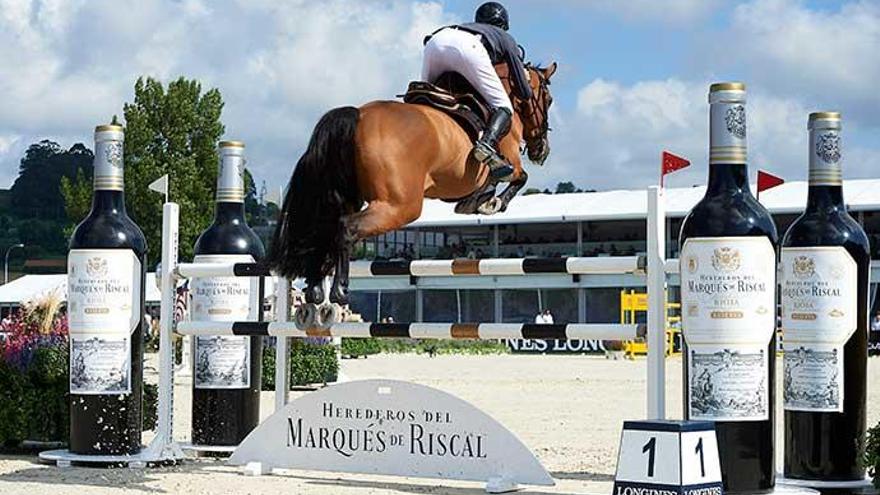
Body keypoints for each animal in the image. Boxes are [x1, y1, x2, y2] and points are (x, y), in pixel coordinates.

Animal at [266, 62, 556, 328]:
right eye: (549, 99)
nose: (541, 149)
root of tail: (357, 115)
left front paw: (481, 202)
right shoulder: (509, 164)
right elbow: (518, 177)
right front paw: (491, 203)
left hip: (347, 197)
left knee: (323, 230)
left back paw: (314, 292)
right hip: (400, 206)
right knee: (346, 228)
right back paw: (340, 291)